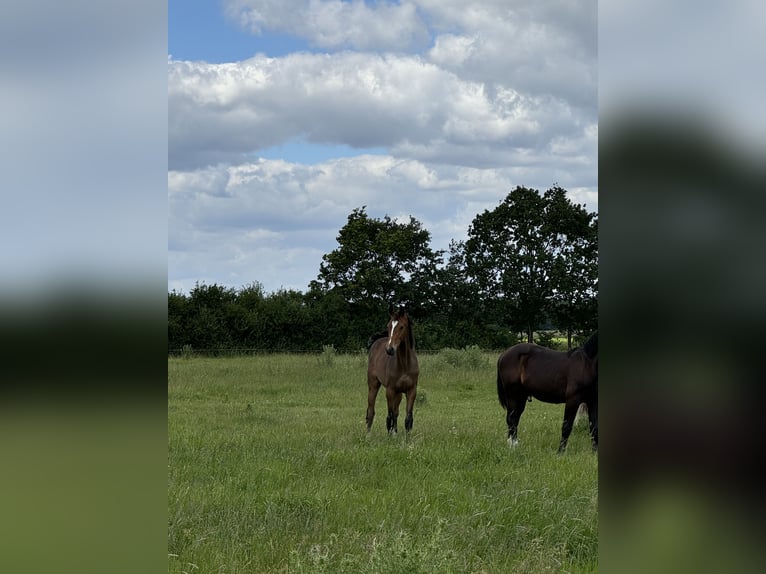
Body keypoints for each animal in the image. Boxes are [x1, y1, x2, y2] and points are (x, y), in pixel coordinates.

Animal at [366, 306, 420, 436]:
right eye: (388, 325)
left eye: (402, 326)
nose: (389, 349)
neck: (405, 364)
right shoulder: (390, 390)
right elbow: (389, 417)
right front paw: (390, 436)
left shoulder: (411, 391)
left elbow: (408, 419)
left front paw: (407, 438)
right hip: (373, 385)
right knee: (371, 410)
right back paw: (368, 436)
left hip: (399, 393)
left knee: (396, 412)